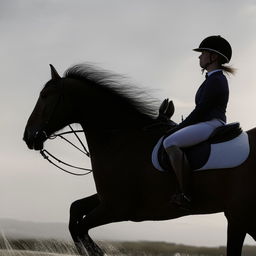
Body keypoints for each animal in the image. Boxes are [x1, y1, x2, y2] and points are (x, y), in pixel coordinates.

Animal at [23, 64, 256, 256]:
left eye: (44, 95)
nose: (28, 136)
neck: (121, 138)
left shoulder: (116, 208)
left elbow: (80, 226)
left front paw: (99, 252)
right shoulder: (107, 199)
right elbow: (75, 212)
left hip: (237, 215)